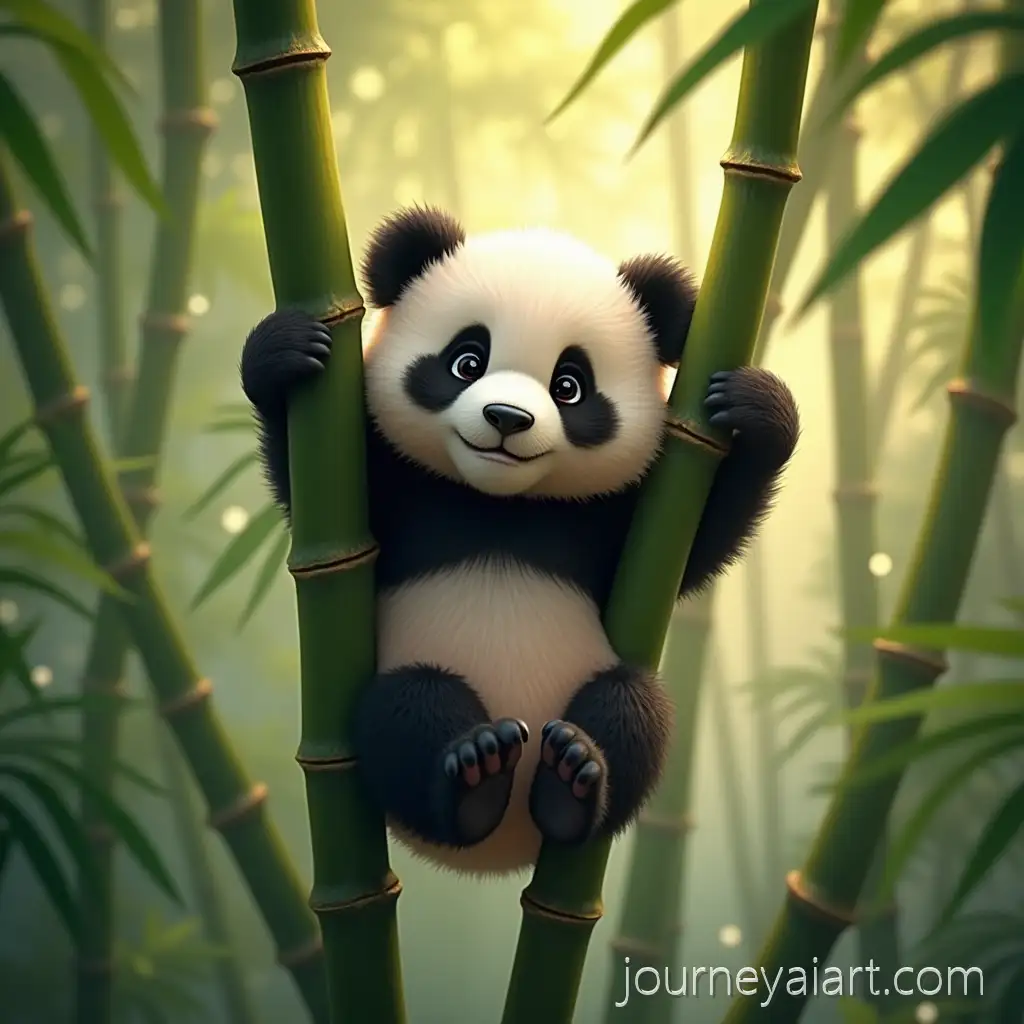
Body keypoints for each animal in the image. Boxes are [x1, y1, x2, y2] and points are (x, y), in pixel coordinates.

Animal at [240, 205, 799, 876]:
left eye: (569, 385)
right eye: (467, 361)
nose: (508, 418)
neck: (499, 505)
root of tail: (502, 851)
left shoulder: (609, 522)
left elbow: (701, 544)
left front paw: (758, 410)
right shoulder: (395, 494)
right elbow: (309, 497)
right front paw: (282, 354)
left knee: (633, 708)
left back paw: (571, 782)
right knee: (404, 709)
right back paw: (476, 773)